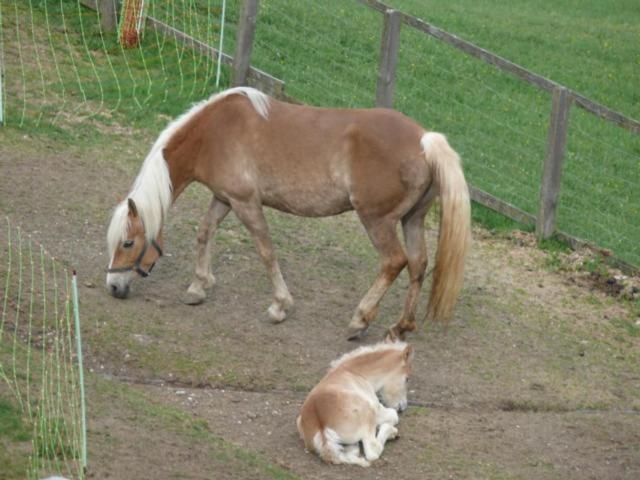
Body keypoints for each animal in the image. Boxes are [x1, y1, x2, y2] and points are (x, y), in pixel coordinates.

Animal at [105, 87, 470, 342]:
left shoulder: (246, 202)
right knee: (419, 265)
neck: (214, 133)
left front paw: (279, 306)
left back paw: (359, 320)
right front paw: (199, 287)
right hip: (412, 221)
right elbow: (204, 232)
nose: (113, 287)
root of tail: (423, 139)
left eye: (127, 243)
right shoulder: (224, 198)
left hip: (377, 221)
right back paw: (400, 327)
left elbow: (266, 251)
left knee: (395, 262)